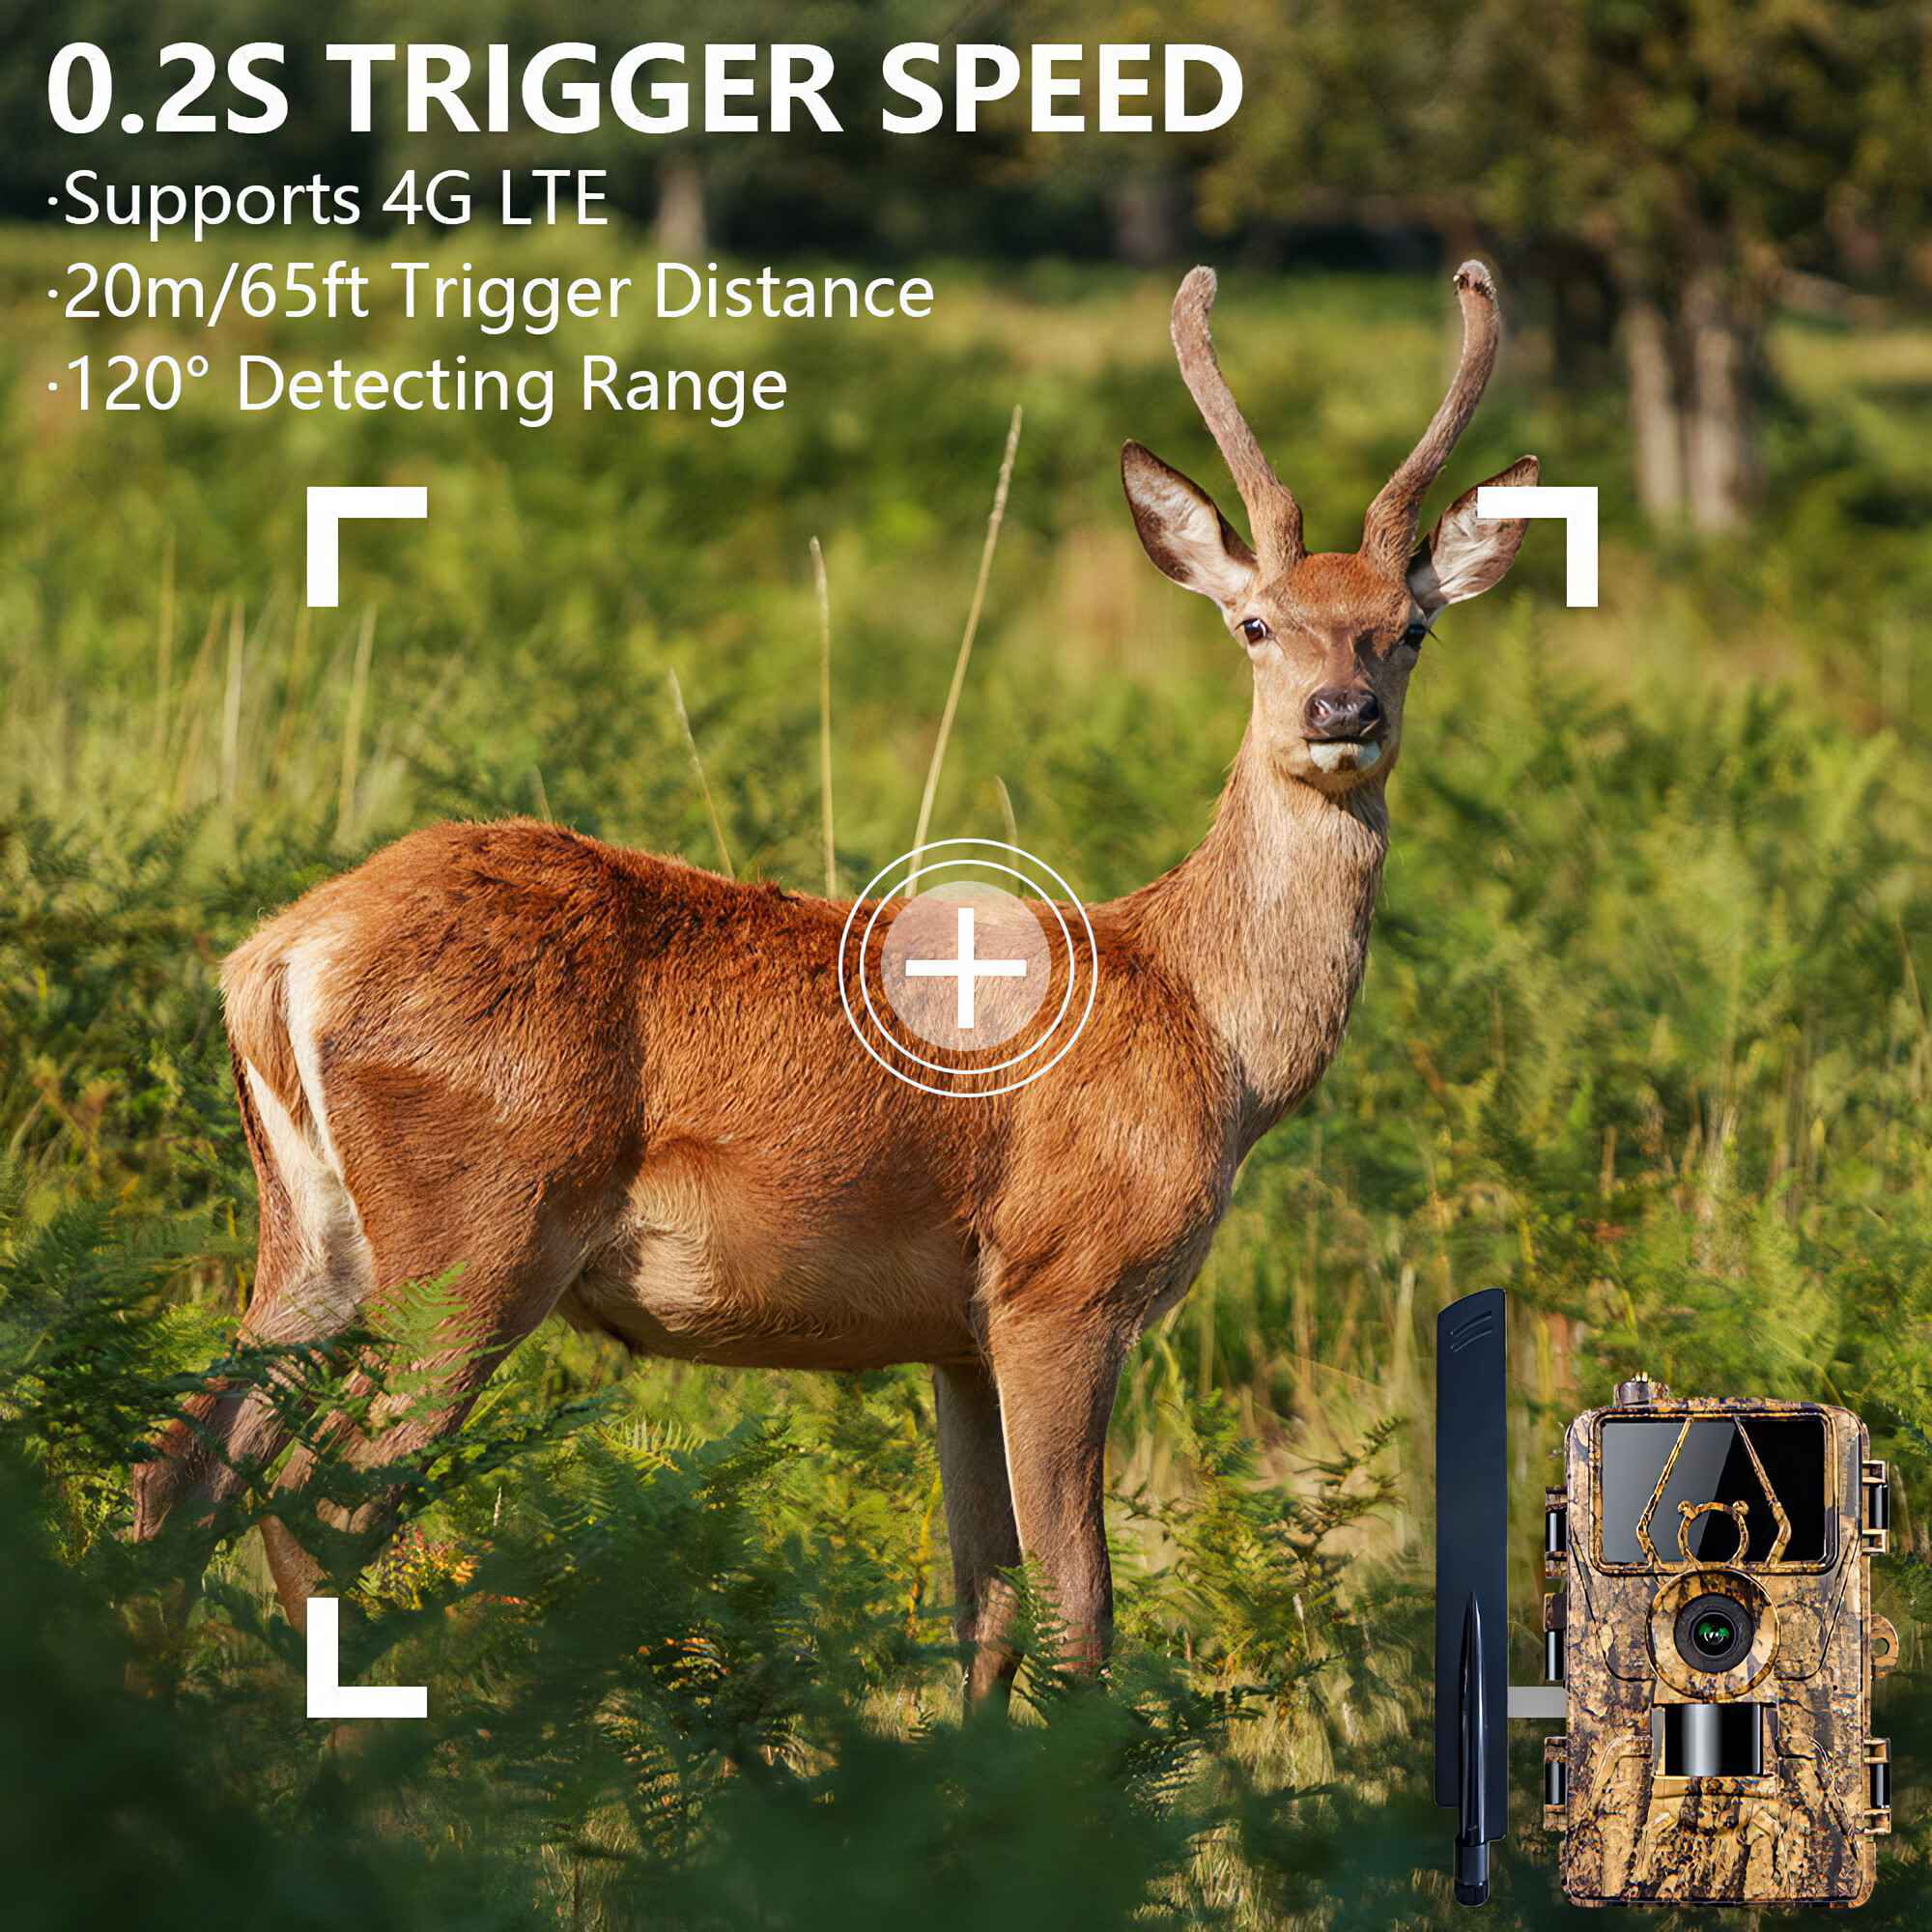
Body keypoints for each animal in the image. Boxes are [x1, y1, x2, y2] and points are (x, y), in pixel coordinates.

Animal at [132, 261, 1537, 1704]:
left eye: (1407, 630)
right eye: (1256, 624)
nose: (1339, 715)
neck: (1213, 1033)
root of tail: (280, 953)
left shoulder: (959, 1332)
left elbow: (985, 1606)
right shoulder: (1063, 1281)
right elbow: (1078, 1611)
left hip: (313, 1229)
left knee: (180, 1470)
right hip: (479, 1221)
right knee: (323, 1504)